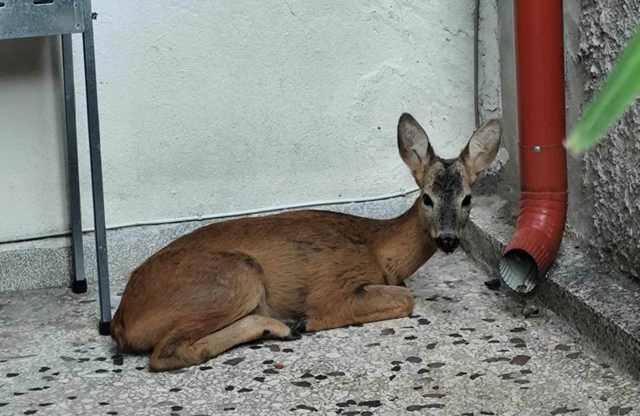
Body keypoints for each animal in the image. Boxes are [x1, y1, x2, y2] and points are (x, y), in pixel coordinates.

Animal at [110, 113, 502, 370]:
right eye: (426, 198)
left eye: (467, 199)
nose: (448, 239)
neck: (379, 250)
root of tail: (121, 320)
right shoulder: (332, 288)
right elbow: (405, 300)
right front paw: (308, 320)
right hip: (234, 275)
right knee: (166, 353)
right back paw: (286, 325)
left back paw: (279, 328)